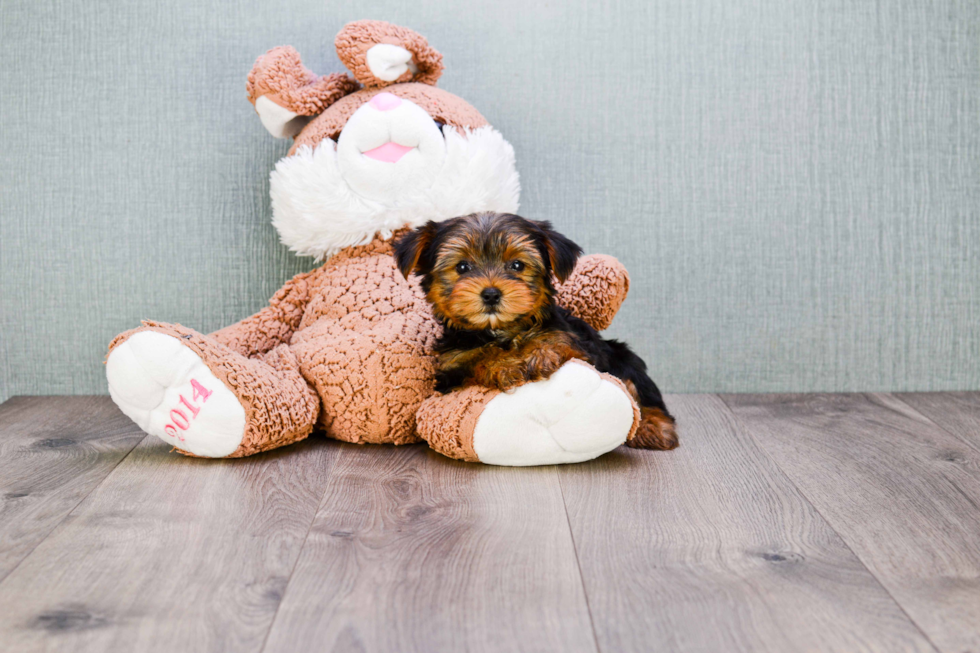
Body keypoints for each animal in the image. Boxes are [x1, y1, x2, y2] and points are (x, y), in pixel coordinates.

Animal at [394, 211, 676, 450]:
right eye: (462, 267)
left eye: (517, 265)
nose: (491, 294)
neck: (498, 330)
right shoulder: (451, 366)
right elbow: (478, 358)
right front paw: (505, 365)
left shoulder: (579, 343)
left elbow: (555, 338)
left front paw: (539, 355)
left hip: (622, 356)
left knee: (641, 390)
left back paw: (653, 428)